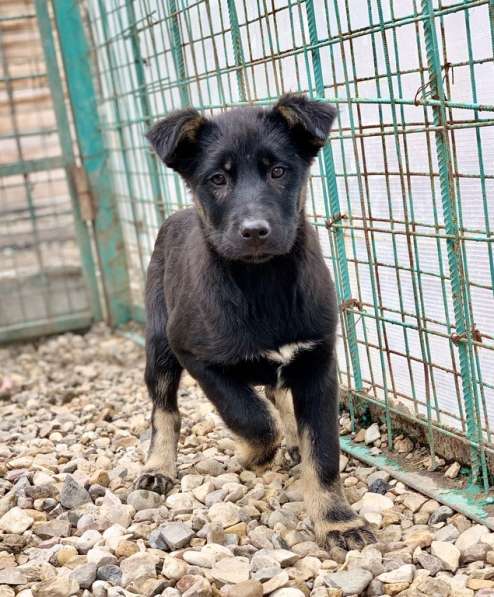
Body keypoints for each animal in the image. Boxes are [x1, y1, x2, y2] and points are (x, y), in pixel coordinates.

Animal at [135, 94, 374, 548]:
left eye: (278, 171)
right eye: (217, 179)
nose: (254, 230)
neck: (262, 283)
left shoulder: (318, 364)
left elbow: (323, 451)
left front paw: (337, 520)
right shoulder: (197, 357)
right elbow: (251, 418)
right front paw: (251, 453)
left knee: (276, 392)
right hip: (159, 345)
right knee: (165, 410)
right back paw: (158, 468)